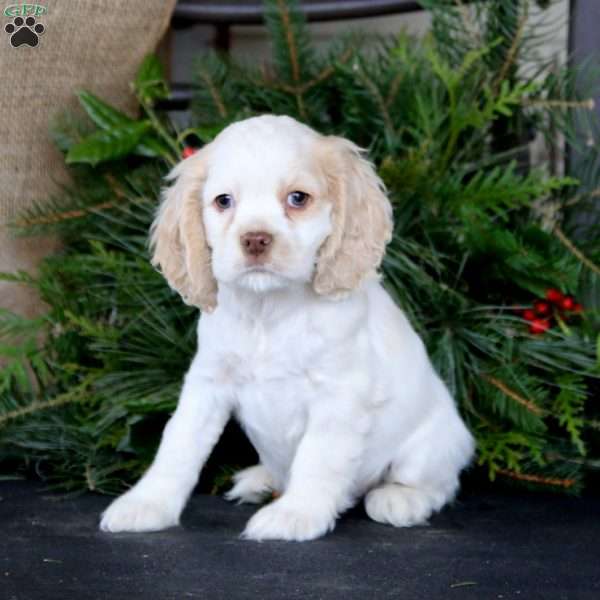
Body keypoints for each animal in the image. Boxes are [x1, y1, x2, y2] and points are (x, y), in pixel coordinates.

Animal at [99, 115, 474, 540]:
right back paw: (262, 481)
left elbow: (318, 457)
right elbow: (178, 443)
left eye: (298, 198)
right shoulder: (207, 383)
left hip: (432, 445)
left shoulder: (338, 394)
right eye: (224, 201)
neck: (268, 311)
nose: (255, 239)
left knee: (437, 484)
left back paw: (400, 499)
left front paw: (296, 514)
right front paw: (148, 504)